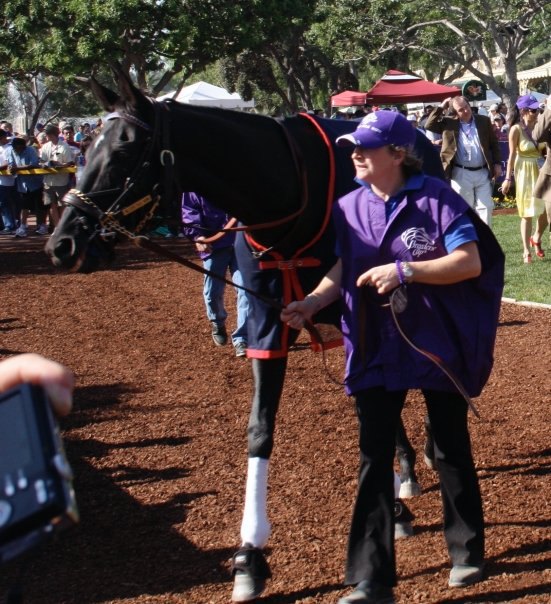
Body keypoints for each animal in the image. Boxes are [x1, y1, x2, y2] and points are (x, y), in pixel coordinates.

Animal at [46, 63, 436, 600]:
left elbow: (374, 404)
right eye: (86, 147)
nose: (63, 243)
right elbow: (260, 429)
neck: (288, 188)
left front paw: (392, 506)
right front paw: (250, 554)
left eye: (123, 149)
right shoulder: (269, 324)